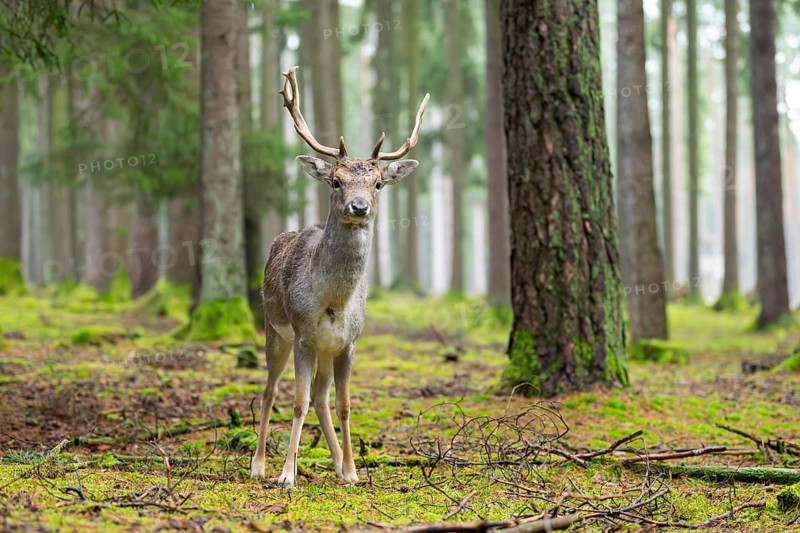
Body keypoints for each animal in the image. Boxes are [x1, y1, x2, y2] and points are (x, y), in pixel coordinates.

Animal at [250, 66, 429, 488]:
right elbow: (296, 402)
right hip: (274, 330)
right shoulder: (303, 336)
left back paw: (336, 463)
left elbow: (345, 404)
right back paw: (259, 464)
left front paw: (352, 471)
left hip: (326, 350)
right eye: (336, 181)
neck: (332, 301)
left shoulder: (348, 343)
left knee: (320, 396)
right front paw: (287, 475)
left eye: (377, 183)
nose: (359, 206)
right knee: (270, 391)